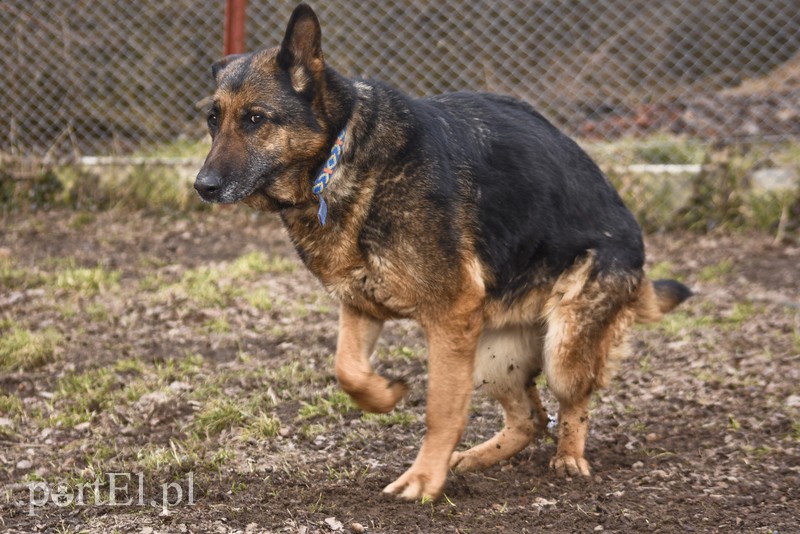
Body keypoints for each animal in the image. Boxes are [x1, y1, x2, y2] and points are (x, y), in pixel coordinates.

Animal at [192, 3, 688, 502]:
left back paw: (568, 457)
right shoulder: (360, 305)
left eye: (255, 119)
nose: (203, 187)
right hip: (492, 357)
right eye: (213, 119)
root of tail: (637, 244)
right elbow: (347, 370)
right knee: (530, 418)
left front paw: (423, 479)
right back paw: (473, 458)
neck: (341, 156)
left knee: (571, 403)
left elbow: (442, 409)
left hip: (561, 348)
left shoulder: (449, 317)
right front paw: (386, 394)